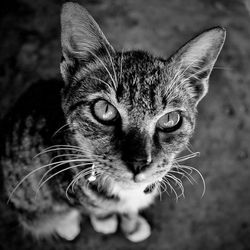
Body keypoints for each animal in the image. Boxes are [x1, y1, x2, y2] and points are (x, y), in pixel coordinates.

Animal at [0, 0, 226, 243]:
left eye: (170, 119)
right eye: (104, 110)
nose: (138, 162)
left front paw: (132, 226)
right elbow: (93, 207)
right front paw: (105, 221)